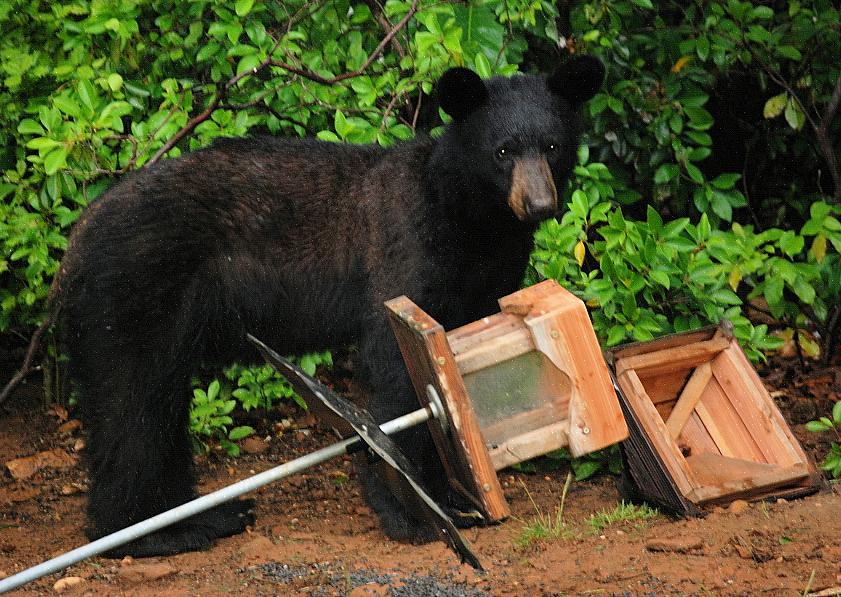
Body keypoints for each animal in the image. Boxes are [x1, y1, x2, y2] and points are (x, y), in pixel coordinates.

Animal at [52, 56, 600, 556]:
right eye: (503, 150)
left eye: (552, 146)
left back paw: (204, 515)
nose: (538, 204)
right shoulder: (407, 248)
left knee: (155, 404)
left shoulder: (485, 277)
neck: (471, 221)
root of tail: (76, 237)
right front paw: (416, 512)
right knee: (132, 401)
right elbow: (393, 367)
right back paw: (158, 532)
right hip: (133, 291)